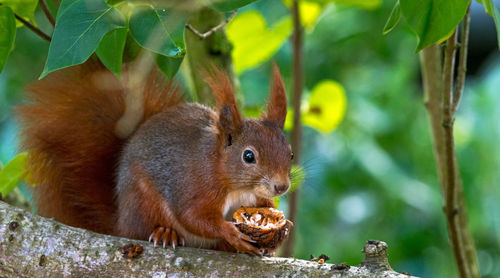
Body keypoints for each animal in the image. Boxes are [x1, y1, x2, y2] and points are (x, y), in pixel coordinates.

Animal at [16, 60, 292, 254]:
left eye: (290, 153)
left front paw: (281, 223)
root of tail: (121, 224)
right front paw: (230, 233)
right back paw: (165, 233)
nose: (281, 187)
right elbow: (192, 216)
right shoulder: (194, 185)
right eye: (249, 156)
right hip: (143, 202)